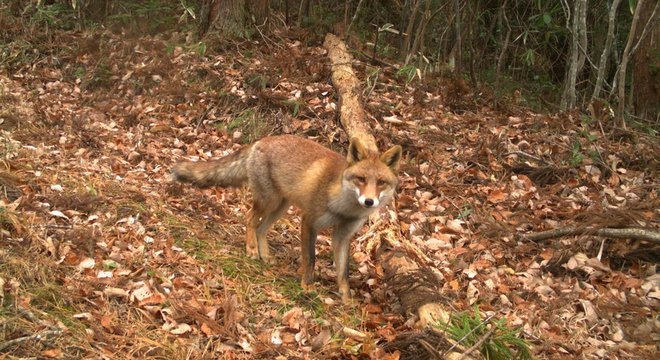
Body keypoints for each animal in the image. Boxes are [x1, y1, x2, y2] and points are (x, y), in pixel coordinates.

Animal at [171, 134, 402, 302]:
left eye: (381, 182)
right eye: (361, 179)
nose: (369, 202)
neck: (343, 207)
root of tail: (261, 140)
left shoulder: (342, 236)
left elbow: (343, 272)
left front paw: (346, 300)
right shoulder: (309, 222)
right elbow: (310, 259)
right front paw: (307, 287)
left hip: (280, 207)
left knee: (261, 228)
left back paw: (264, 255)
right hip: (269, 201)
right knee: (249, 218)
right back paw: (251, 249)